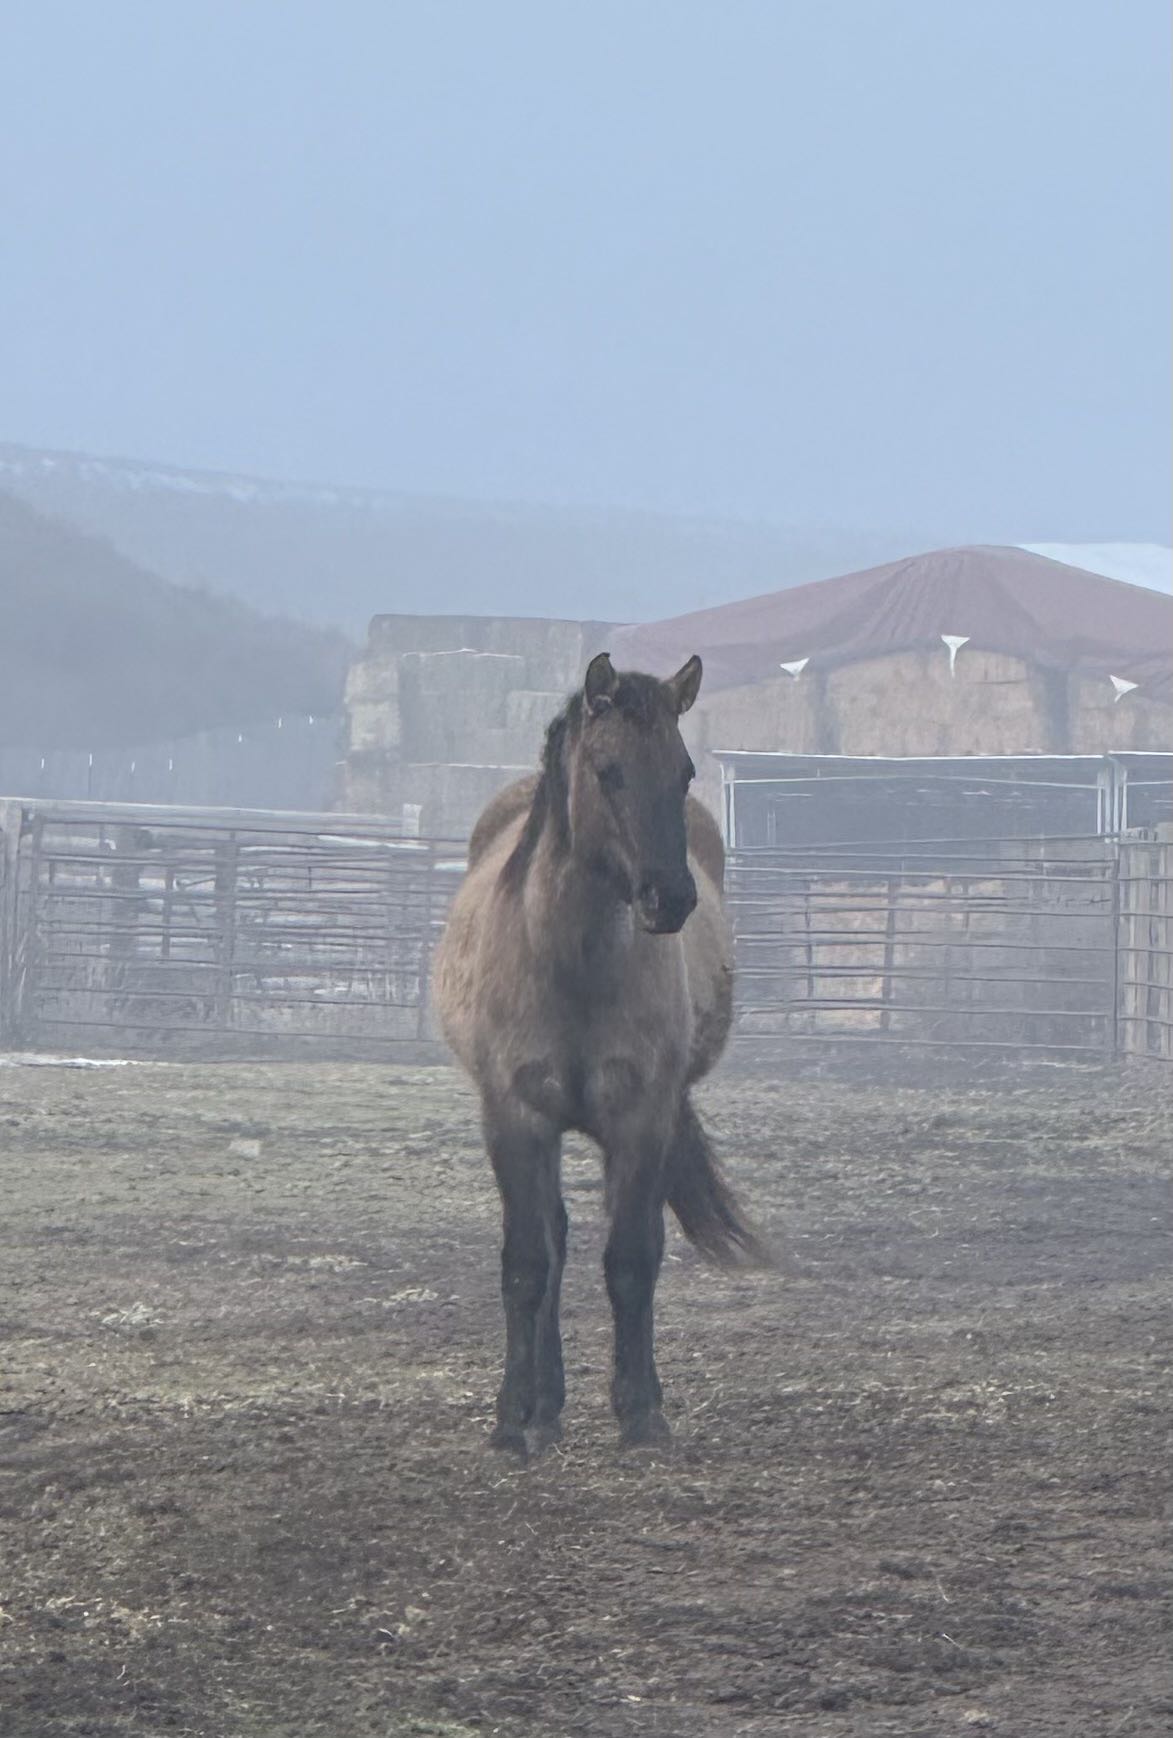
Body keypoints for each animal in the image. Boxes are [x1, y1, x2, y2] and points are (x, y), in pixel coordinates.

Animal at [433, 651, 767, 1455]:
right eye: (608, 770)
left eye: (683, 770)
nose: (668, 897)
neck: (570, 965)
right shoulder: (515, 1118)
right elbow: (527, 1264)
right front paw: (511, 1420)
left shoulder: (641, 1118)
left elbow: (631, 1260)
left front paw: (641, 1415)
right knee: (550, 1245)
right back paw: (542, 1408)